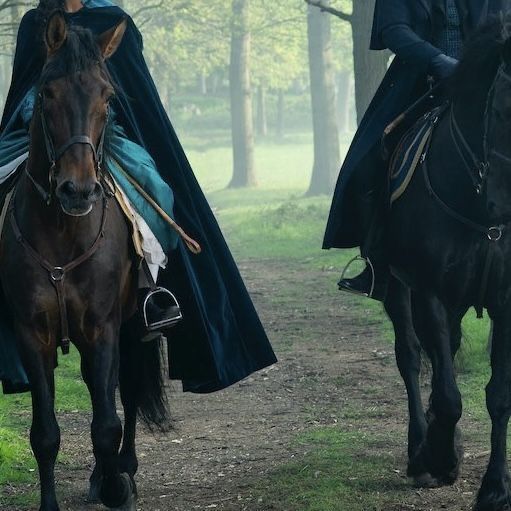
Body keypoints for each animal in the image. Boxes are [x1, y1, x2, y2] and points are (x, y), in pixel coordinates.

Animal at [0, 12, 168, 511]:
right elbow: (45, 434)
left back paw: (121, 469)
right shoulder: (32, 333)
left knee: (124, 390)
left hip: (132, 325)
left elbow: (107, 423)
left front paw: (117, 488)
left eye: (107, 97)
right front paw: (50, 503)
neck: (62, 232)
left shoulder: (102, 327)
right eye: (46, 93)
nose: (78, 190)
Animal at [384, 13, 511, 511]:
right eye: (498, 110)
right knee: (412, 358)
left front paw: (495, 487)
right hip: (396, 287)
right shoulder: (429, 291)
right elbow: (449, 393)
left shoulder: (506, 302)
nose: (501, 204)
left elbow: (498, 395)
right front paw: (436, 458)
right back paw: (421, 445)